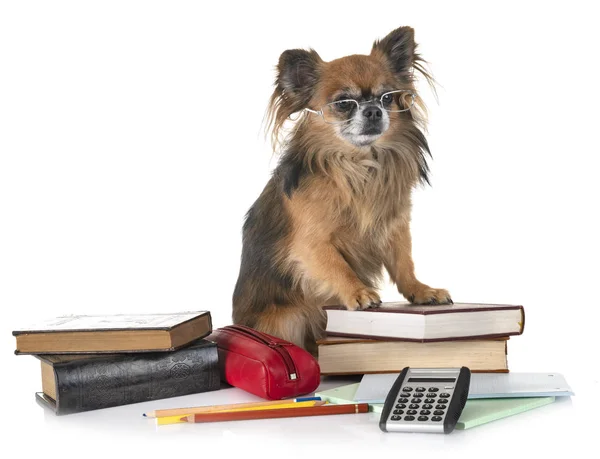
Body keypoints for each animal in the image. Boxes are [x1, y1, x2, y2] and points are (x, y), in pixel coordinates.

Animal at [232, 26, 452, 352]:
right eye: (345, 103)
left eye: (387, 98)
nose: (373, 111)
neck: (361, 166)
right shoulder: (310, 243)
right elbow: (337, 265)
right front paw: (358, 292)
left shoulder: (395, 226)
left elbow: (403, 262)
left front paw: (420, 290)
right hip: (287, 320)